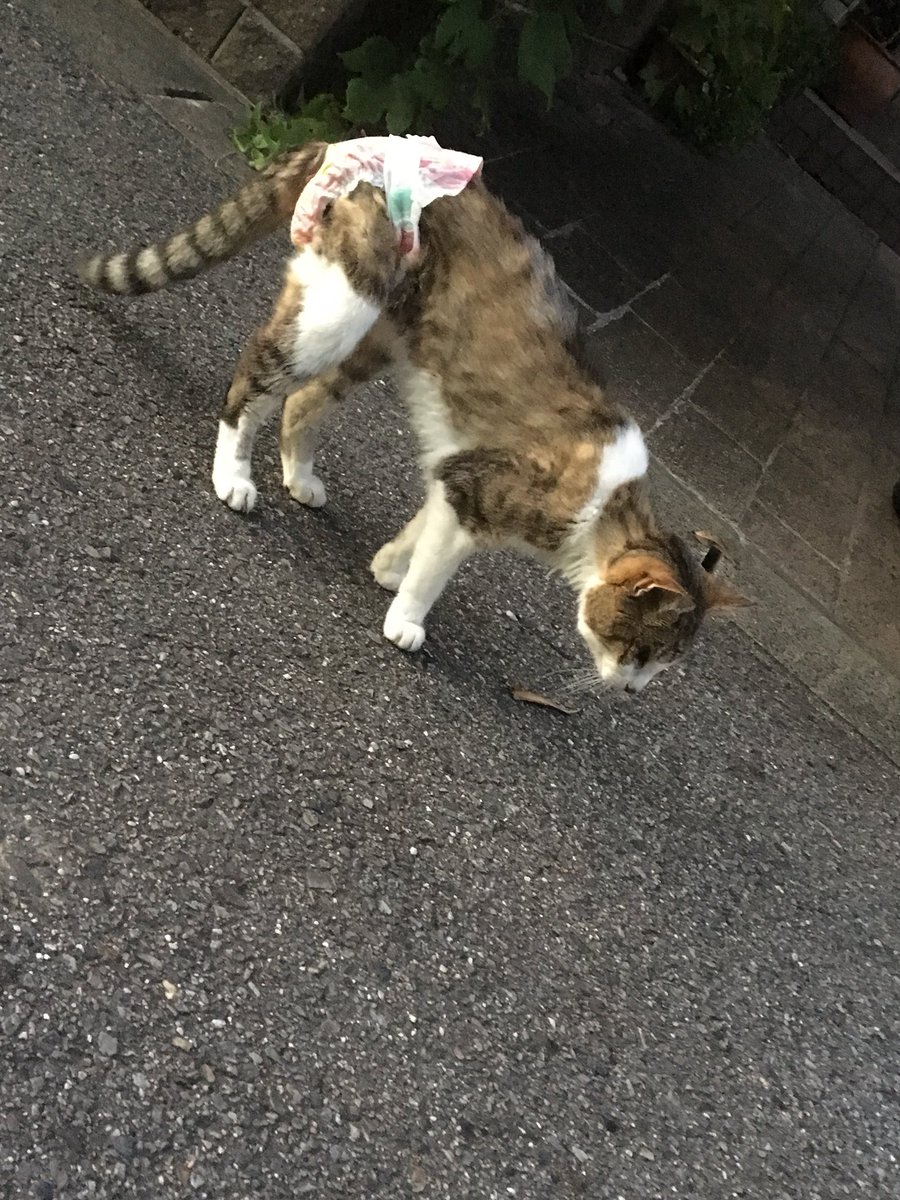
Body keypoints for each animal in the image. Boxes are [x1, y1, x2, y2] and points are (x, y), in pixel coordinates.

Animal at [77, 141, 747, 692]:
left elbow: (420, 532)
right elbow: (437, 572)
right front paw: (407, 618)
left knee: (303, 401)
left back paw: (299, 478)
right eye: (641, 649)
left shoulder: (456, 476)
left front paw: (387, 569)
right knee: (255, 380)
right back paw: (234, 476)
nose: (633, 691)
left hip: (375, 335)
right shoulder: (479, 493)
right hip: (338, 311)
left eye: (664, 664)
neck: (601, 509)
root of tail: (348, 139)